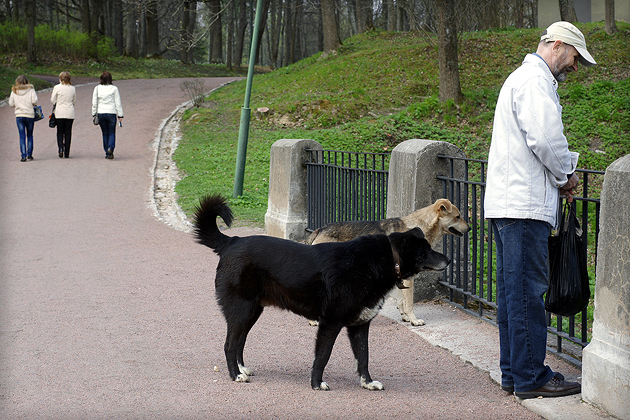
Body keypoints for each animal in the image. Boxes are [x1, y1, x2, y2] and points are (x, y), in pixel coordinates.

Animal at [195, 195, 452, 392]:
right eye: (425, 251)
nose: (448, 260)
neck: (382, 260)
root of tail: (231, 241)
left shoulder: (360, 326)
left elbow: (364, 358)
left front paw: (367, 383)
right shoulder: (330, 323)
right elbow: (322, 356)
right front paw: (316, 383)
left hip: (251, 312)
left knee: (239, 342)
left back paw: (242, 368)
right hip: (242, 310)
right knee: (230, 345)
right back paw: (235, 374)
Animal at [308, 199, 472, 326]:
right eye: (458, 216)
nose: (470, 228)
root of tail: (319, 229)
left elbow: (401, 301)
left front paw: (405, 317)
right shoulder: (409, 278)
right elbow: (409, 303)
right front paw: (414, 320)